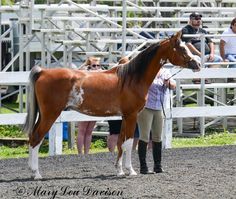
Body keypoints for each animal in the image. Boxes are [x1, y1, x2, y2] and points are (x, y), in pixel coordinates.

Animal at [23, 31, 199, 179]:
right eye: (181, 48)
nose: (197, 64)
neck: (132, 78)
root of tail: (43, 71)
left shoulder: (124, 117)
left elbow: (121, 143)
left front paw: (119, 170)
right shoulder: (132, 116)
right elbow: (128, 143)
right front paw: (131, 171)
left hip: (43, 115)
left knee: (32, 137)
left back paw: (32, 170)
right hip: (50, 115)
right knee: (36, 138)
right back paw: (36, 174)